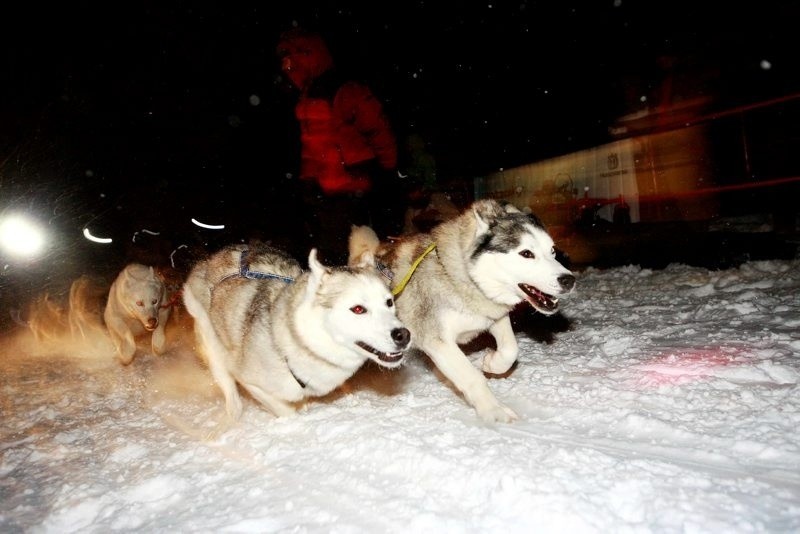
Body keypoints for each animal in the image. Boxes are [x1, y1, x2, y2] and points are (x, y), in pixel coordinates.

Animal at [179, 243, 410, 422]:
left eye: (389, 302)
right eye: (358, 309)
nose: (403, 335)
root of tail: (211, 259)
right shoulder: (252, 383)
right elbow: (287, 412)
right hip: (214, 348)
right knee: (231, 393)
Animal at [350, 199, 576, 426]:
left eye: (553, 251)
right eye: (527, 253)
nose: (569, 280)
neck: (458, 278)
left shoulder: (493, 316)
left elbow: (510, 350)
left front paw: (491, 363)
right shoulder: (438, 341)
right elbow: (472, 377)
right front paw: (493, 410)